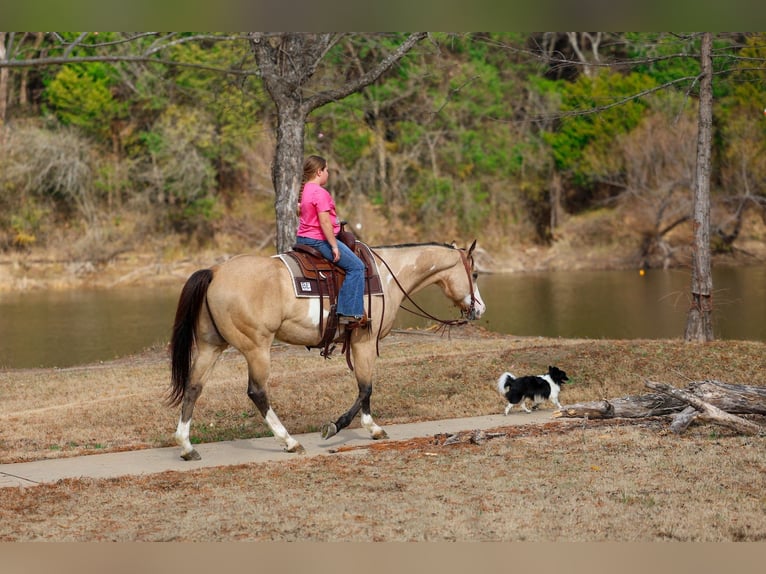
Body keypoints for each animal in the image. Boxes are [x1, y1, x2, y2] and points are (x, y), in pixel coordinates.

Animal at [168, 241, 486, 460]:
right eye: (475, 274)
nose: (480, 309)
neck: (387, 276)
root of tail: (216, 271)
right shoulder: (364, 341)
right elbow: (366, 387)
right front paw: (341, 426)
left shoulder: (358, 344)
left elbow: (364, 388)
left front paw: (370, 427)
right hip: (257, 347)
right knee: (257, 392)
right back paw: (289, 441)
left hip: (211, 346)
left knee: (193, 387)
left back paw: (186, 446)